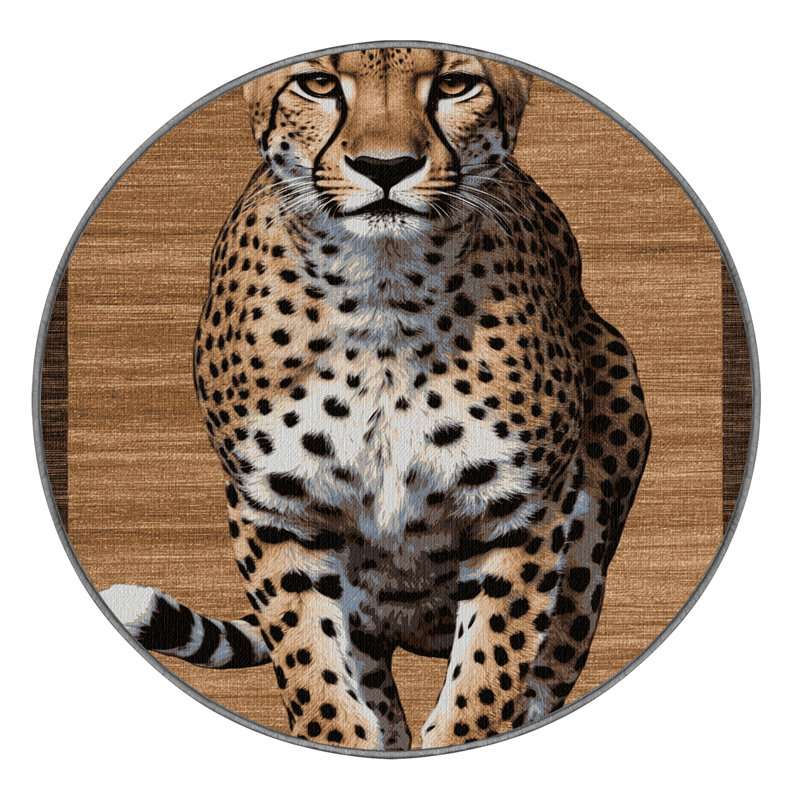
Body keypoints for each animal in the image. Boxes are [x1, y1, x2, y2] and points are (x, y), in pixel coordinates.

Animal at [101, 46, 651, 752]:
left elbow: (488, 671)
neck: (386, 291)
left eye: (455, 84)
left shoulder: (525, 509)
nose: (385, 168)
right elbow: (312, 666)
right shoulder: (273, 510)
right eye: (317, 83)